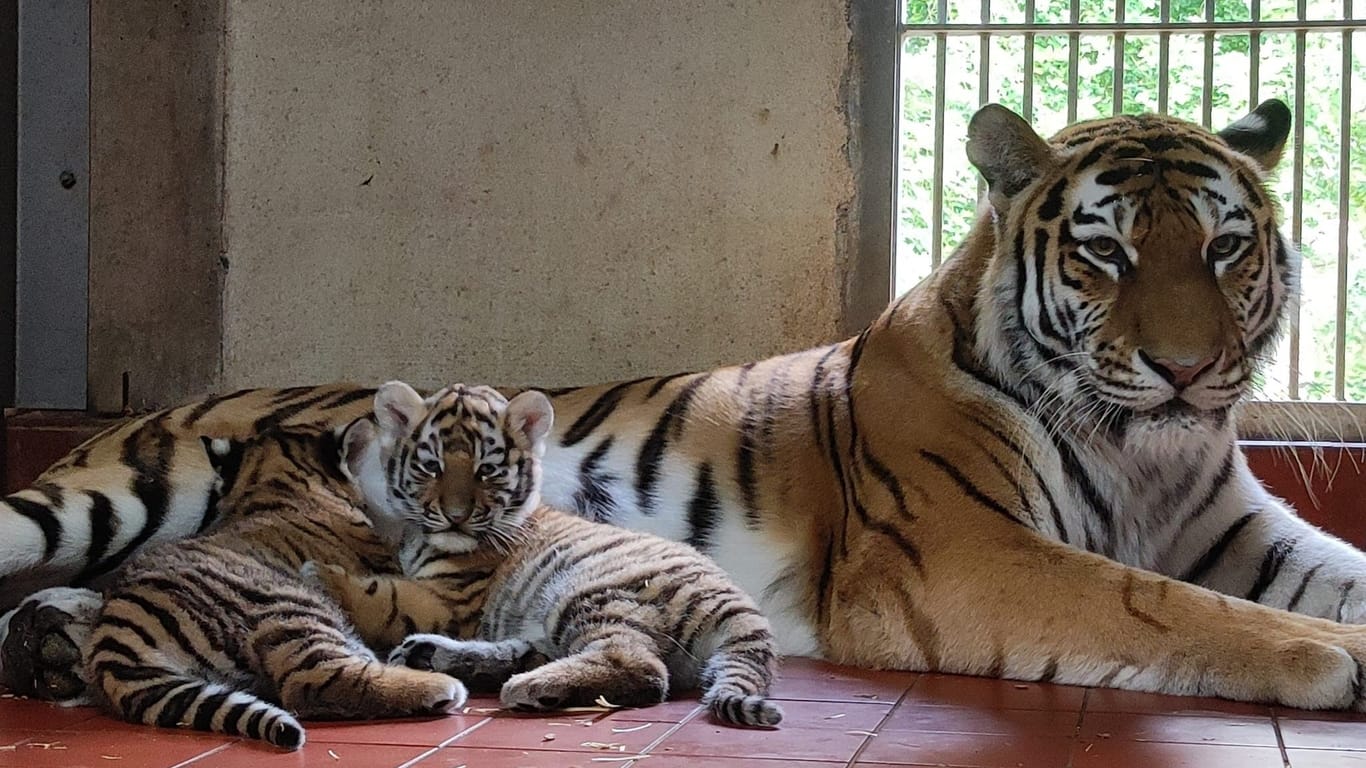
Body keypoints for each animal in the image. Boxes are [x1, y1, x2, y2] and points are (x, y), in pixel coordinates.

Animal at [2, 103, 1366, 710]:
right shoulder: (958, 555)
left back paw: (53, 648)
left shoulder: (1234, 532)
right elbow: (1163, 606)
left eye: (1225, 246)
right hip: (107, 497)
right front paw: (1332, 661)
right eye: (1107, 254)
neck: (1149, 455)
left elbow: (1306, 576)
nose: (1188, 372)